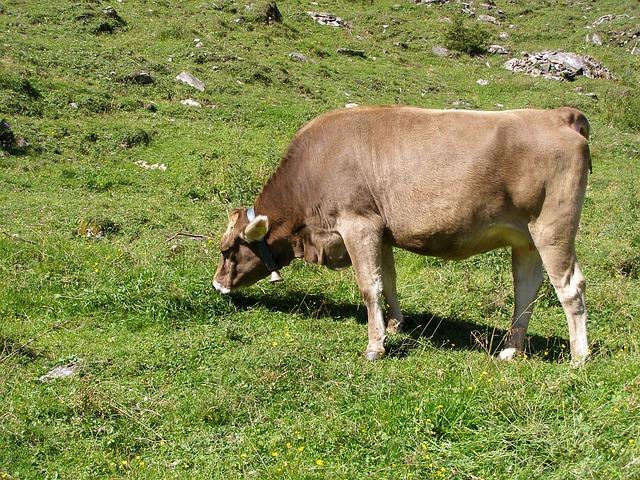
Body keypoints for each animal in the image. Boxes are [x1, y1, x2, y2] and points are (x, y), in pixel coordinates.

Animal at [212, 107, 592, 366]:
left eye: (228, 250)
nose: (217, 285)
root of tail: (557, 115)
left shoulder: (358, 224)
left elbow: (369, 287)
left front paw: (374, 346)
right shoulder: (381, 232)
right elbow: (389, 281)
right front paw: (395, 325)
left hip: (553, 230)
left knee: (569, 287)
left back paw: (579, 357)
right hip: (525, 240)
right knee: (526, 291)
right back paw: (511, 349)